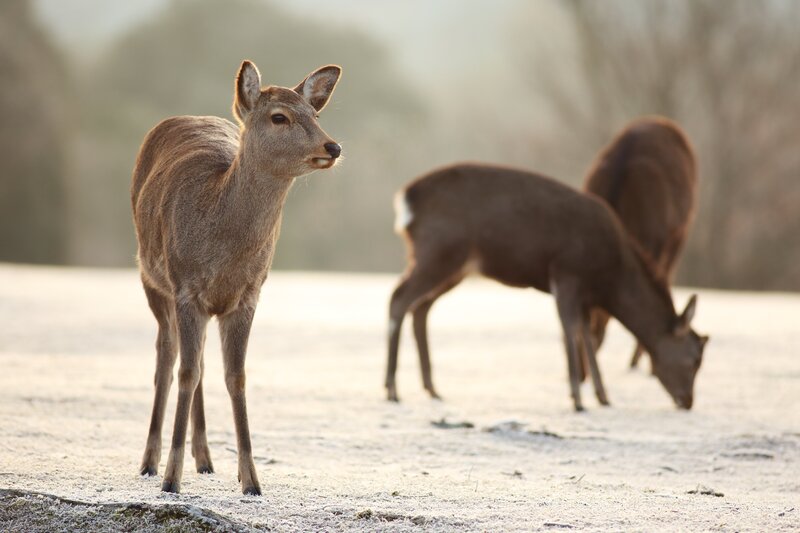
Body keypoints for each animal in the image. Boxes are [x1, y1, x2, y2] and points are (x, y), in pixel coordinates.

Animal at [131, 60, 341, 495]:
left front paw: (251, 480)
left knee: (198, 361)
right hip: (150, 277)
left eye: (315, 115)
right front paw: (171, 480)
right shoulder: (186, 289)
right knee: (167, 358)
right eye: (279, 117)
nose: (333, 147)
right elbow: (186, 372)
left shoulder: (248, 295)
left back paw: (206, 459)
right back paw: (149, 462)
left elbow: (236, 377)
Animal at [386, 163, 708, 411]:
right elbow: (569, 330)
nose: (688, 401)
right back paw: (392, 389)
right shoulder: (566, 273)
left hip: (453, 266)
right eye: (694, 359)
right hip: (439, 250)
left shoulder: (584, 295)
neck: (610, 277)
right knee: (399, 298)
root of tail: (406, 199)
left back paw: (431, 388)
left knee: (420, 308)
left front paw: (603, 396)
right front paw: (577, 399)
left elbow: (585, 335)